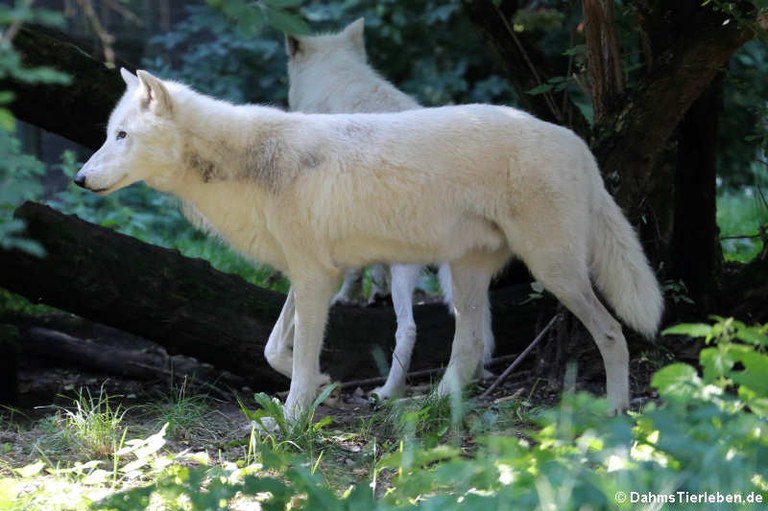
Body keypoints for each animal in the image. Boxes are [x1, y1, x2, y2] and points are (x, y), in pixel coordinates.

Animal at [78, 66, 664, 422]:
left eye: (122, 136)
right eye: (108, 133)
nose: (80, 179)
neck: (247, 163)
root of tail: (578, 143)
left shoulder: (317, 279)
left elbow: (297, 356)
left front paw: (292, 420)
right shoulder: (311, 275)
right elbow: (273, 350)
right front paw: (324, 385)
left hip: (552, 271)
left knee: (612, 333)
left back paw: (615, 409)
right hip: (467, 275)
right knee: (470, 347)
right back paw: (427, 408)